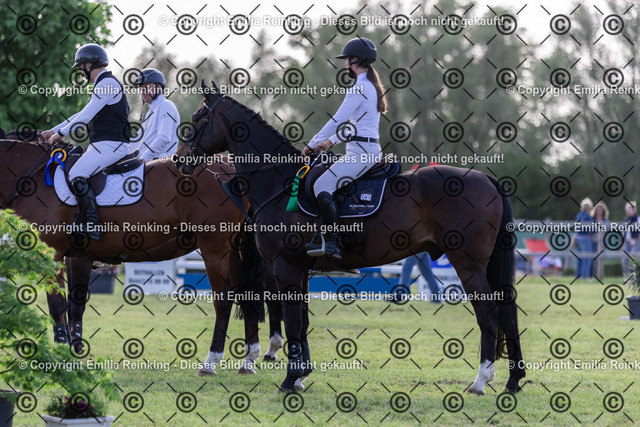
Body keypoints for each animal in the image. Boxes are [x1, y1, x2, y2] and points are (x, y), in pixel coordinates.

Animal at [0, 134, 283, 375]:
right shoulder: (75, 256)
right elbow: (72, 306)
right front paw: (73, 350)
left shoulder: (55, 256)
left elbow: (60, 304)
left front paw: (65, 351)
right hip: (234, 251)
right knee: (246, 295)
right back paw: (248, 360)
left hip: (215, 251)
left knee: (223, 301)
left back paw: (211, 362)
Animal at [173, 80, 526, 394]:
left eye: (198, 118)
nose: (179, 160)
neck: (280, 182)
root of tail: (488, 179)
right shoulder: (300, 270)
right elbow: (301, 322)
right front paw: (301, 377)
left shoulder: (285, 267)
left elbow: (293, 321)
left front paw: (289, 380)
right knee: (506, 311)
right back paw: (512, 380)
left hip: (468, 264)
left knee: (489, 313)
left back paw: (480, 381)